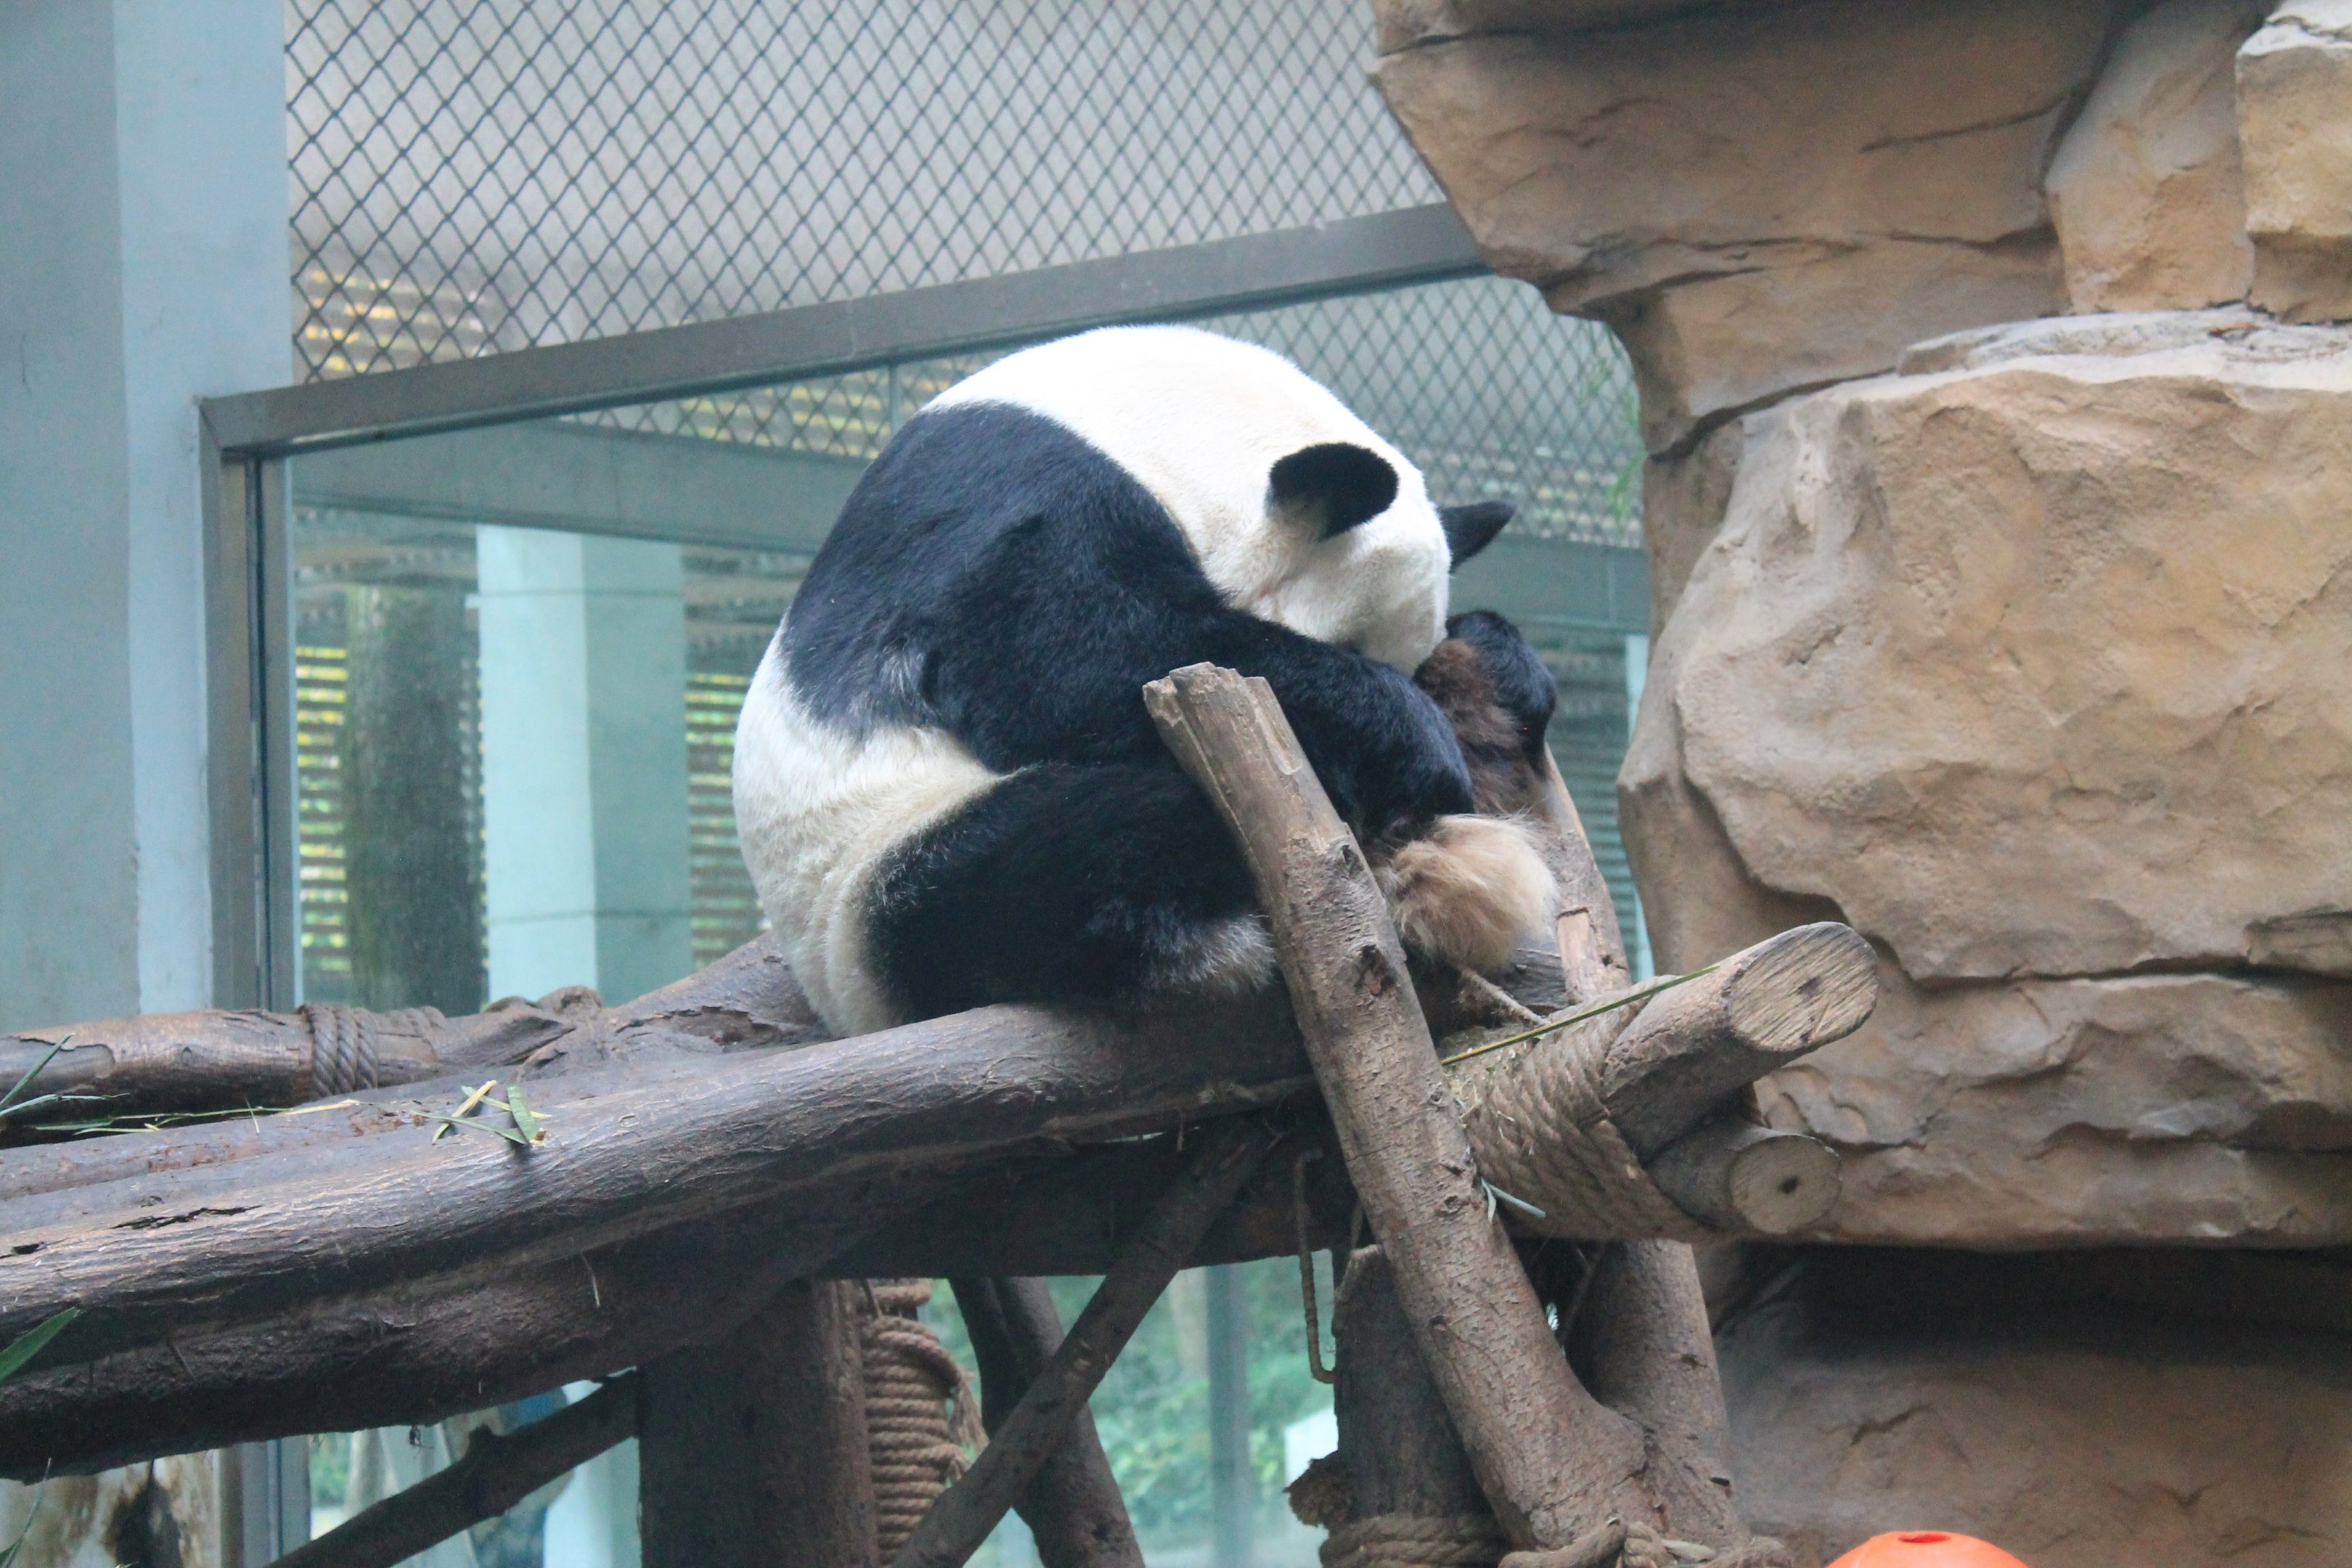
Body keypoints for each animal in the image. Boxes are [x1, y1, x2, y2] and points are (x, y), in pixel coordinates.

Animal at [732, 324, 1561, 1037]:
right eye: (1353, 644)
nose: (1398, 813)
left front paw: (1501, 671)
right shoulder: (1010, 492)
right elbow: (1075, 662)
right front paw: (1414, 743)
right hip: (880, 881)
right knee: (1088, 845)